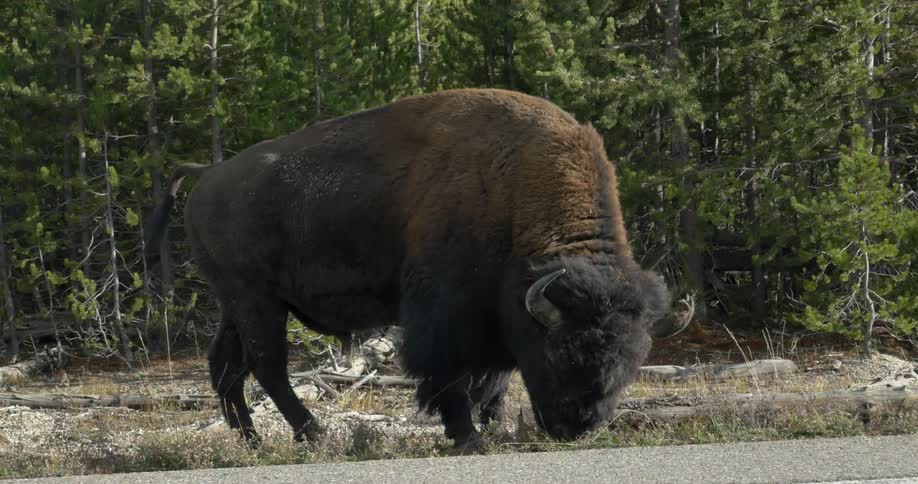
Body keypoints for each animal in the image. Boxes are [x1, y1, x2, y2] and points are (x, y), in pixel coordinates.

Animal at [145, 88, 690, 451]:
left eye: (630, 363)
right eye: (559, 353)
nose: (575, 427)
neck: (514, 188)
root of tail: (210, 173)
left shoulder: (497, 316)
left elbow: (493, 376)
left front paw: (490, 424)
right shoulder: (443, 311)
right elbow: (449, 375)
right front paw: (469, 437)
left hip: (237, 303)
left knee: (227, 367)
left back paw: (254, 441)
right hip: (256, 300)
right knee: (267, 367)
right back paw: (314, 434)